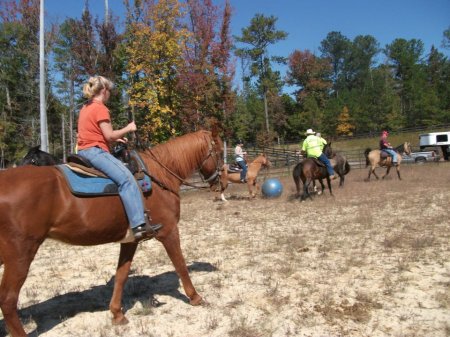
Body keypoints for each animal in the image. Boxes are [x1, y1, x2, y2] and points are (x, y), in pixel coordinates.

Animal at [0, 129, 224, 336]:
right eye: (220, 152)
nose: (220, 183)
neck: (159, 176)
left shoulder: (130, 240)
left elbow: (121, 275)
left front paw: (117, 314)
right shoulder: (169, 232)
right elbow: (181, 265)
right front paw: (195, 297)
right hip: (20, 254)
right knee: (8, 300)